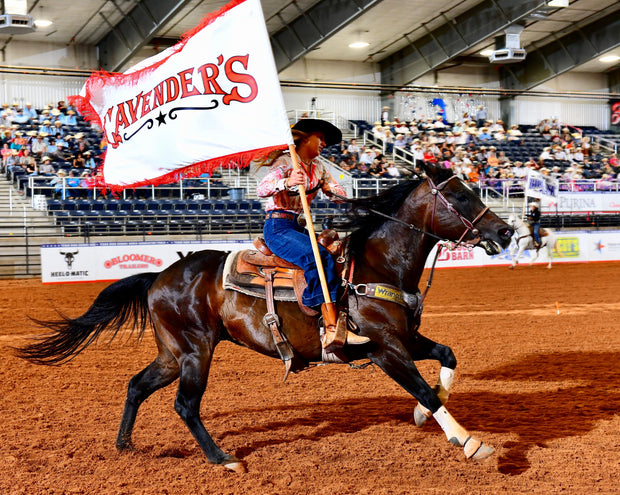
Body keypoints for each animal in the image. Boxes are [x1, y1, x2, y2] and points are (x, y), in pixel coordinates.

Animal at [19, 163, 512, 472]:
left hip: (172, 353)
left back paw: (125, 445)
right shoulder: (385, 350)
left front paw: (423, 416)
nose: (506, 231)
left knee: (137, 385)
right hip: (195, 352)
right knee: (185, 404)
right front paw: (470, 442)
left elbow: (446, 359)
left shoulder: (406, 339)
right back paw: (224, 459)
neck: (376, 265)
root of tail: (160, 275)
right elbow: (425, 388)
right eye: (459, 195)